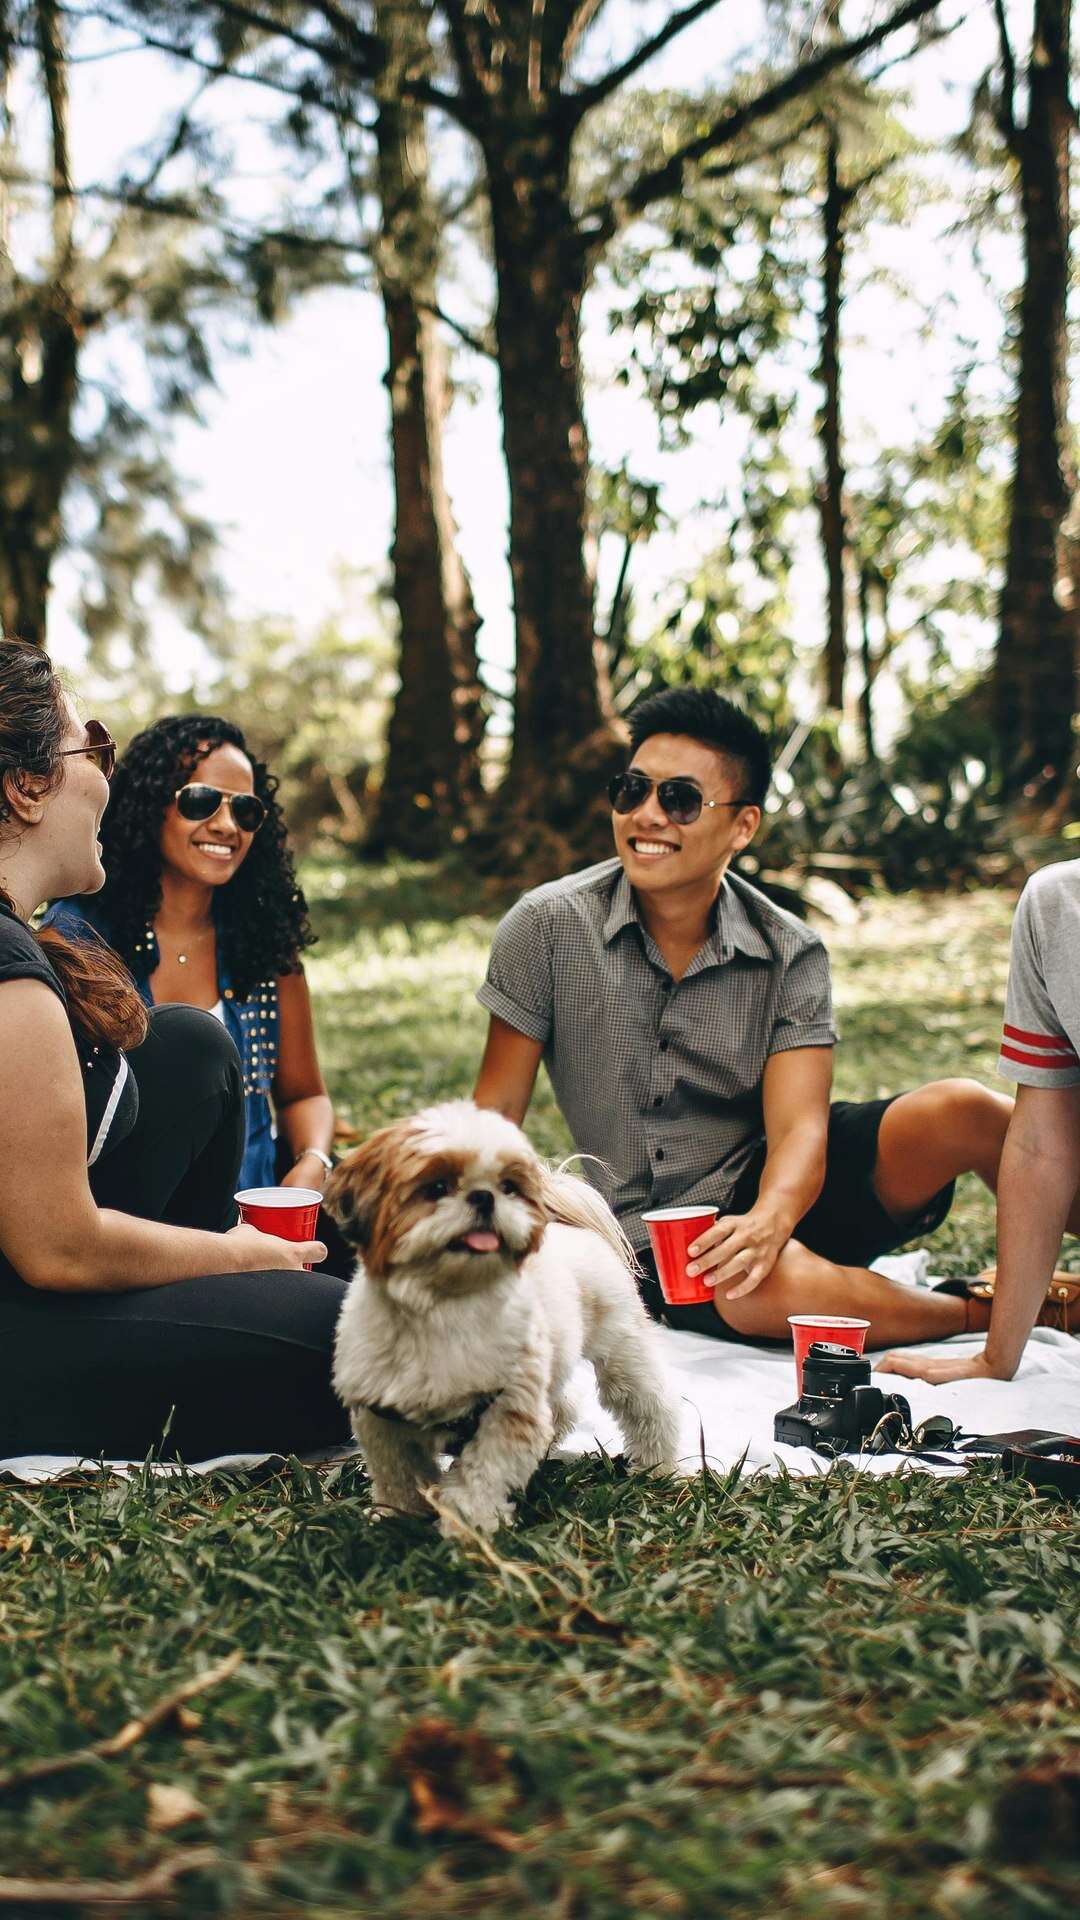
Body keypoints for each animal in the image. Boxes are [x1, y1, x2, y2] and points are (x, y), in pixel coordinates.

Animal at [328, 1105, 676, 1536]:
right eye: (437, 1186)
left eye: (508, 1186)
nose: (484, 1196)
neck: (444, 1306)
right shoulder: (382, 1417)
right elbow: (398, 1474)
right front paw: (397, 1517)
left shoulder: (507, 1411)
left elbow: (481, 1476)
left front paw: (468, 1525)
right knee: (561, 1407)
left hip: (621, 1350)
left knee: (649, 1405)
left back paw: (658, 1465)